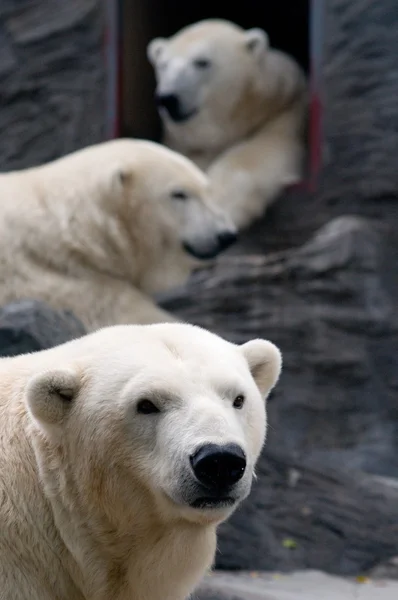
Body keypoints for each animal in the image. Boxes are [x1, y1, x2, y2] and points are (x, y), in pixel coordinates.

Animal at [149, 18, 308, 230]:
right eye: (163, 65)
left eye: (201, 62)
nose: (167, 98)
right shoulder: (187, 144)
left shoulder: (283, 111)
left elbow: (260, 152)